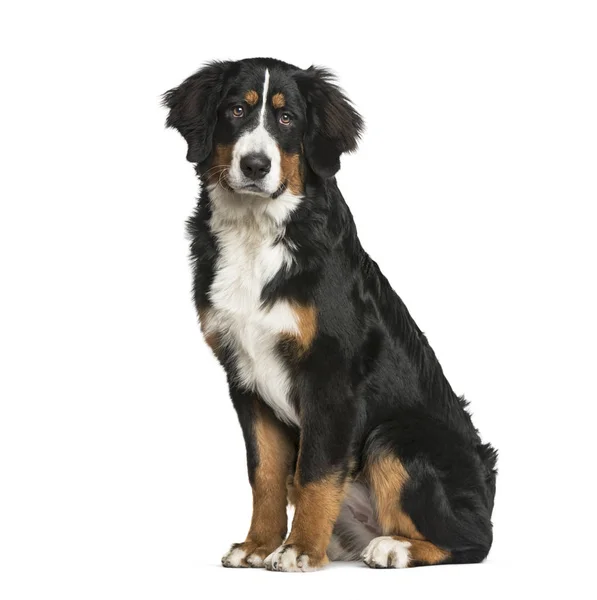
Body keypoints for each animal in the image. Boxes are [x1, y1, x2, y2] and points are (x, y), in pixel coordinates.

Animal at [161, 58, 496, 576]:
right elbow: (267, 473)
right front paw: (258, 544)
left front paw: (299, 549)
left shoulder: (331, 374)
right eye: (236, 109)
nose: (255, 166)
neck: (257, 233)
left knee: (473, 540)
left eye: (286, 118)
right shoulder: (244, 378)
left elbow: (316, 472)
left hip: (395, 435)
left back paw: (395, 547)